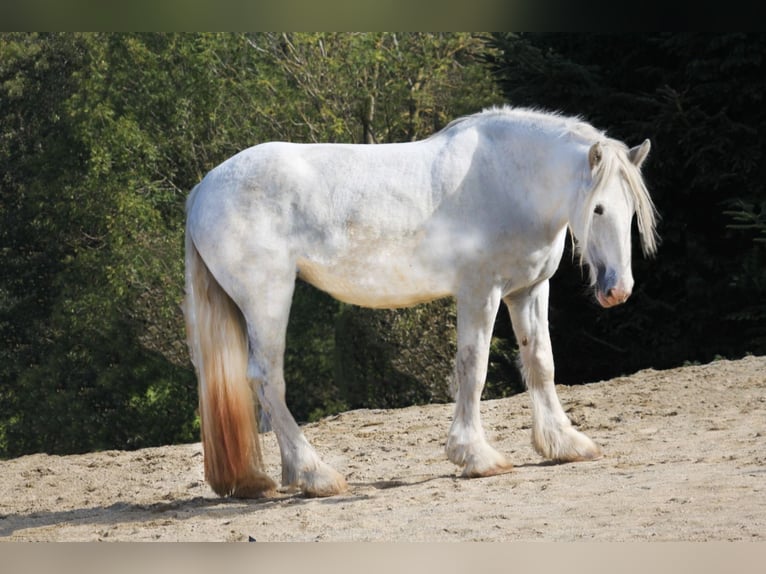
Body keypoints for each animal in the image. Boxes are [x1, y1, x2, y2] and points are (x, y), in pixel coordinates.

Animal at [183, 104, 656, 500]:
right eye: (598, 209)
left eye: (631, 208)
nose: (618, 289)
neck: (507, 178)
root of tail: (202, 189)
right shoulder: (480, 293)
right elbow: (473, 368)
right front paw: (476, 456)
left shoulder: (528, 291)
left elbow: (541, 363)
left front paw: (564, 443)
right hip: (268, 298)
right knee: (267, 380)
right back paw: (316, 474)